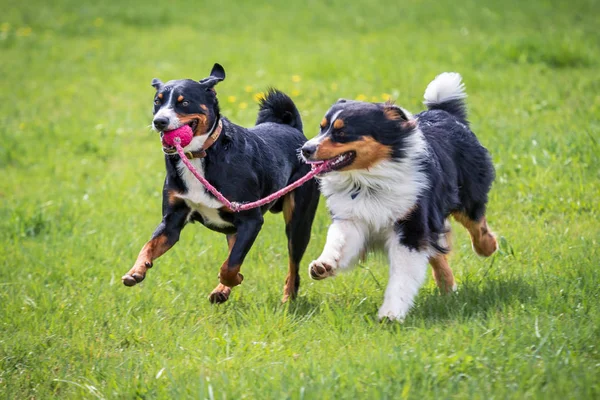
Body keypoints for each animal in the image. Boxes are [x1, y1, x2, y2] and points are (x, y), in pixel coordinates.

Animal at [119, 63, 322, 304]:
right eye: (157, 102)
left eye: (184, 102)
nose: (159, 121)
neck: (199, 155)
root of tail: (294, 130)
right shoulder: (172, 221)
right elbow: (148, 246)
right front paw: (136, 271)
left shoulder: (251, 220)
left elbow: (230, 266)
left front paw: (235, 279)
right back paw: (222, 290)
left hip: (298, 221)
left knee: (293, 265)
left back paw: (287, 298)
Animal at [302, 73, 500, 320]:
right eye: (322, 129)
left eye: (341, 132)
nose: (305, 149)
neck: (369, 181)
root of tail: (444, 112)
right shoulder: (353, 217)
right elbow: (338, 240)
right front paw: (323, 265)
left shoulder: (411, 226)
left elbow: (402, 277)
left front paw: (391, 314)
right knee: (438, 255)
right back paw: (448, 290)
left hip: (466, 196)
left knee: (476, 224)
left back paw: (488, 247)